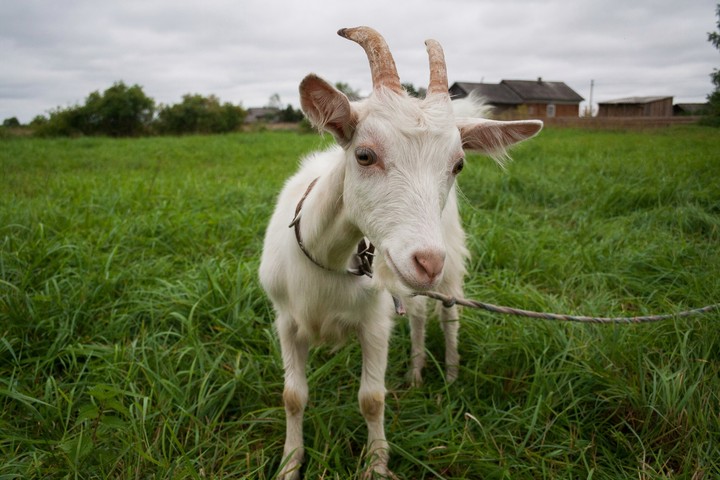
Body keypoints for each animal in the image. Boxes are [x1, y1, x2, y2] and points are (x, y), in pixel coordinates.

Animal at [259, 26, 543, 479]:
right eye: (364, 154)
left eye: (458, 165)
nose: (426, 262)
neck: (329, 259)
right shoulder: (285, 319)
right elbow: (292, 396)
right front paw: (289, 464)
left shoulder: (375, 322)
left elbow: (372, 399)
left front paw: (376, 465)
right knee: (419, 315)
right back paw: (415, 372)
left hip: (449, 260)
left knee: (447, 311)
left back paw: (450, 373)